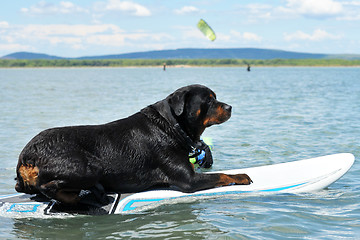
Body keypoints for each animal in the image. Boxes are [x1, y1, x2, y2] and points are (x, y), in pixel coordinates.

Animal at [15, 84, 252, 204]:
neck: (172, 126)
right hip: (89, 167)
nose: (230, 107)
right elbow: (223, 175)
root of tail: (26, 156)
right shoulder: (189, 180)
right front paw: (242, 176)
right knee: (47, 187)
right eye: (209, 100)